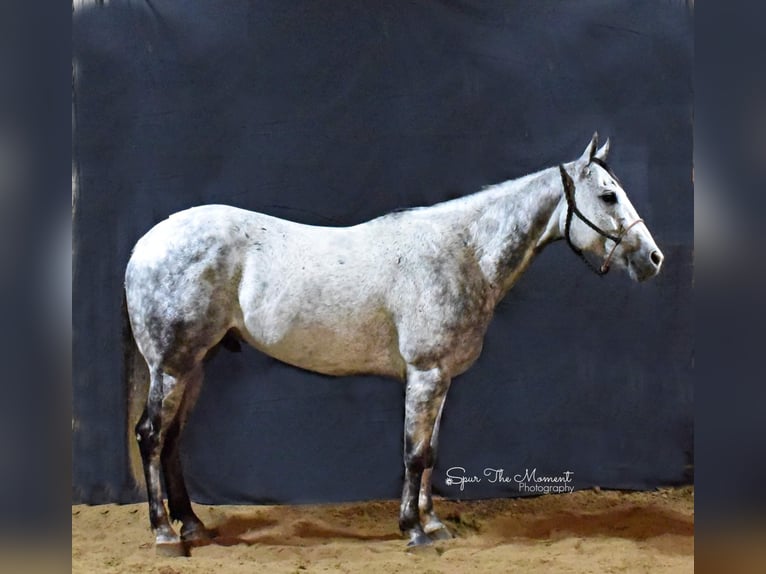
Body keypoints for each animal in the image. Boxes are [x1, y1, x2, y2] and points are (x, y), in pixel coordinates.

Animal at [126, 135, 664, 560]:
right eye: (609, 194)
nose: (653, 259)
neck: (462, 252)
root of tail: (146, 245)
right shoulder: (424, 374)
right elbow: (413, 453)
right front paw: (413, 530)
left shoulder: (441, 378)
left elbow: (430, 454)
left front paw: (433, 524)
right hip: (171, 366)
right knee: (151, 436)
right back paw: (165, 536)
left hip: (196, 364)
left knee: (172, 439)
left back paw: (193, 526)